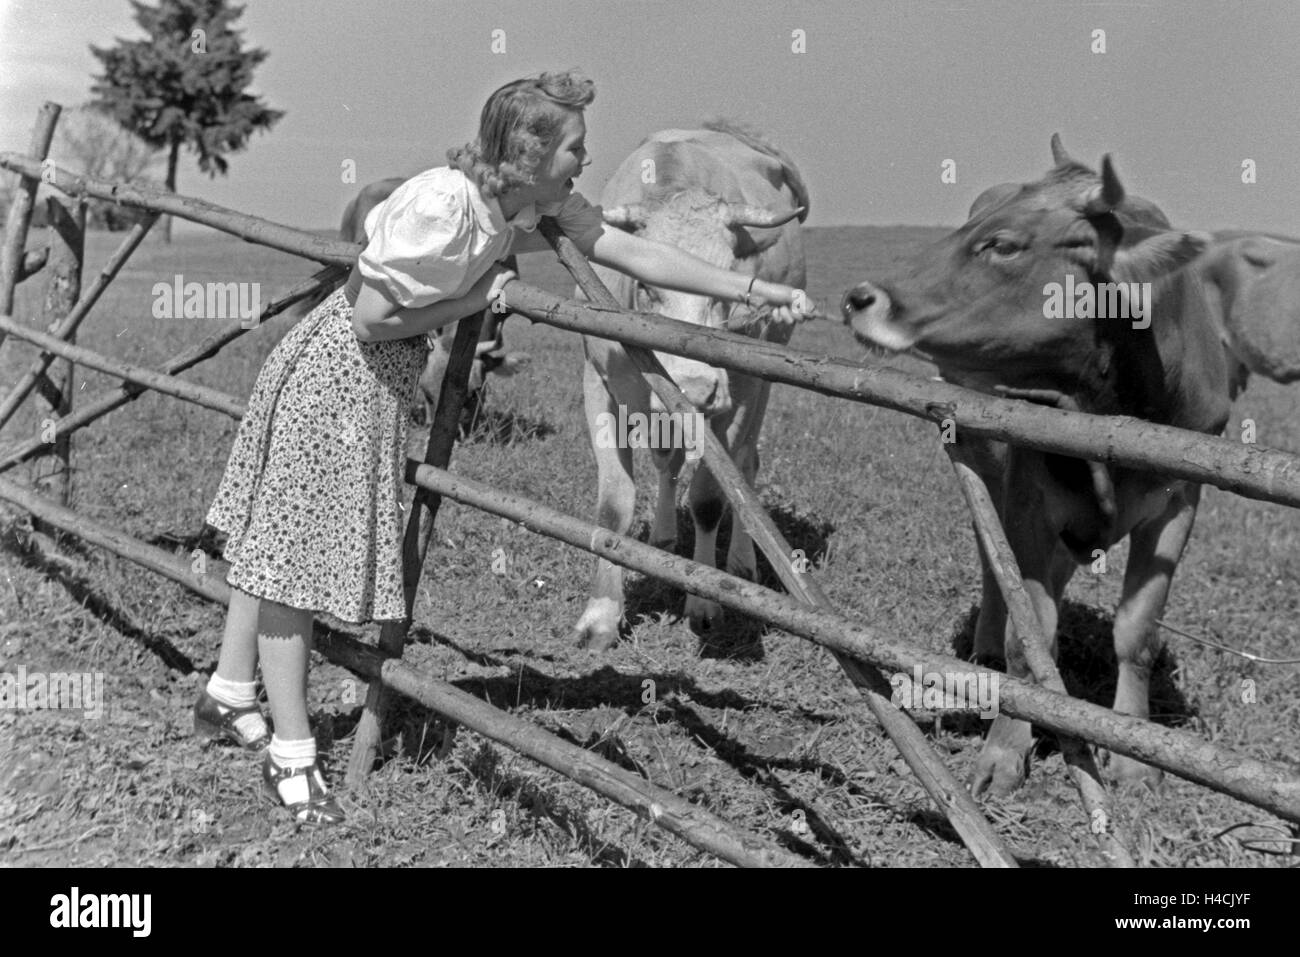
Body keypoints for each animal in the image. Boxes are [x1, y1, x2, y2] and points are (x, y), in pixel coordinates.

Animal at [574, 123, 806, 650]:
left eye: (728, 283)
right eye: (647, 286)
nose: (698, 390)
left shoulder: (737, 395)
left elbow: (709, 500)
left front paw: (703, 603)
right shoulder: (599, 384)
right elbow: (614, 501)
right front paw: (601, 614)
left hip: (759, 386)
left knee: (745, 465)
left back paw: (741, 559)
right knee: (668, 461)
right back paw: (662, 535)